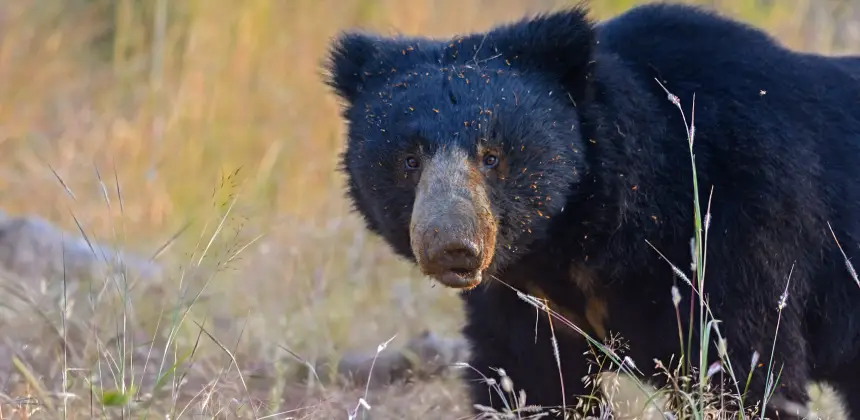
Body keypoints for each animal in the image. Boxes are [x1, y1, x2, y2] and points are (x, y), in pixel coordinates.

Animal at [323, 2, 860, 419]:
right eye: (409, 161)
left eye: (491, 156)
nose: (454, 247)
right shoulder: (524, 300)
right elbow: (528, 379)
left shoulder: (736, 225)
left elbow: (744, 368)